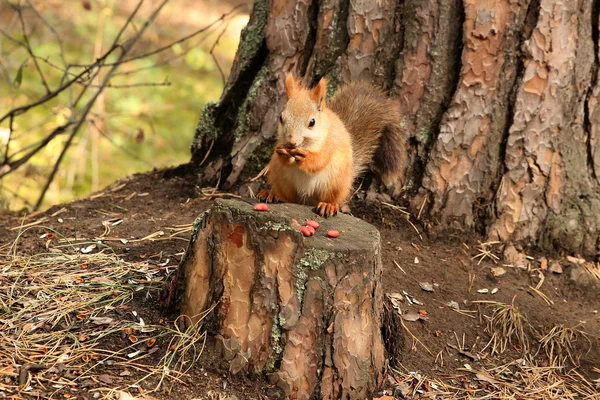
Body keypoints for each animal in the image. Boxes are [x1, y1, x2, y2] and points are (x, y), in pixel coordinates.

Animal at [258, 72, 408, 216]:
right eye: (280, 118)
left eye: (312, 122)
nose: (291, 143)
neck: (306, 144)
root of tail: (305, 200)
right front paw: (283, 153)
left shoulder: (331, 142)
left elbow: (320, 160)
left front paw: (306, 157)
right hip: (280, 176)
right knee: (288, 197)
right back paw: (273, 194)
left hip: (334, 182)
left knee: (331, 198)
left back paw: (328, 205)